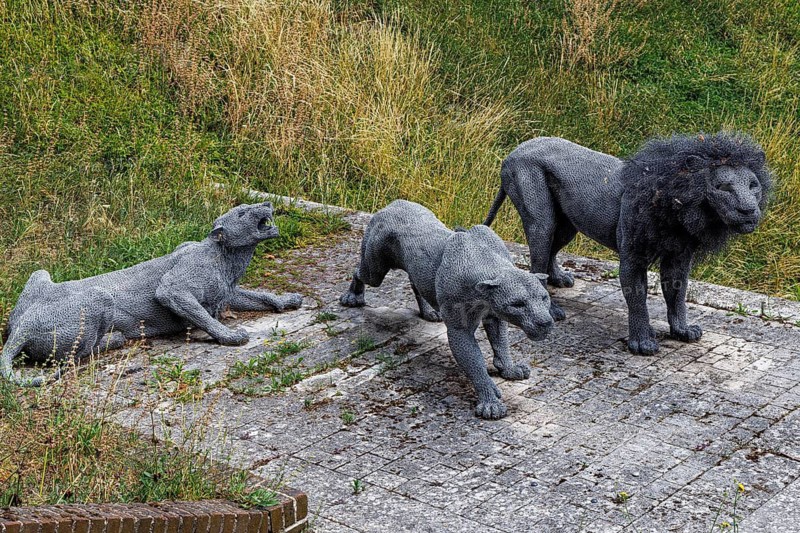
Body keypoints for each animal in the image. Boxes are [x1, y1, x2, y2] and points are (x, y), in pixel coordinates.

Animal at [2, 201, 304, 386]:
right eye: (241, 213)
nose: (266, 204)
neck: (225, 257)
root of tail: (19, 328)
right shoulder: (174, 289)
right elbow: (203, 316)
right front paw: (229, 336)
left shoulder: (226, 293)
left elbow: (262, 296)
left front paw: (287, 300)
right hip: (99, 296)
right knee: (75, 355)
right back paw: (115, 338)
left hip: (40, 273)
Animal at [484, 133, 772, 354]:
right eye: (723, 187)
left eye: (753, 185)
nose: (748, 210)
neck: (680, 203)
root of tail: (514, 151)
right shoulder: (632, 257)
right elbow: (637, 297)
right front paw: (643, 343)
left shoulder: (679, 256)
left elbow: (676, 294)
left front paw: (682, 331)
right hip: (540, 216)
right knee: (538, 257)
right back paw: (551, 309)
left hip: (568, 224)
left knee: (551, 251)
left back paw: (560, 279)